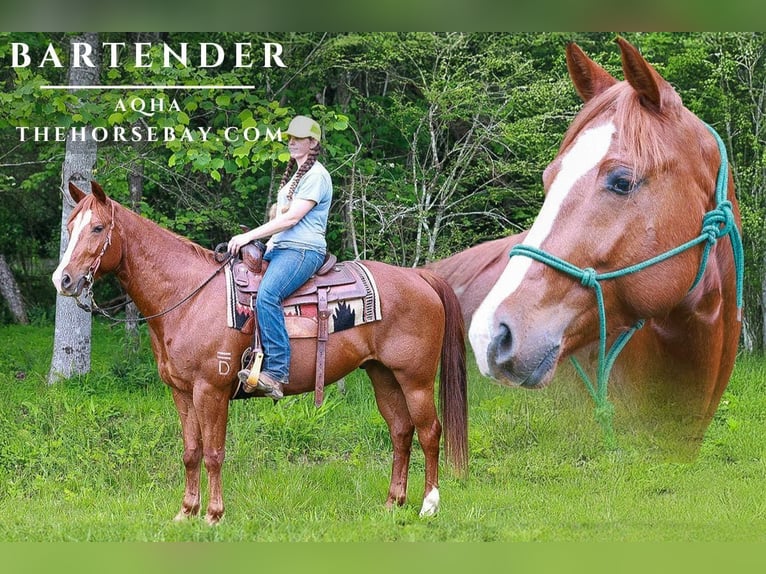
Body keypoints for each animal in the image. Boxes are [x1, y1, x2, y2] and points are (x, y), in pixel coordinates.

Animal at [52, 180, 468, 524]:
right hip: (383, 375)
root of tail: (420, 277)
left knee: (429, 432)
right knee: (401, 431)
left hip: (415, 379)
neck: (188, 296)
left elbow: (213, 452)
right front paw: (186, 512)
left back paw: (429, 506)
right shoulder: (182, 392)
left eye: (98, 228)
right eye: (70, 227)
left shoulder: (211, 391)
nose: (63, 280)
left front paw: (213, 516)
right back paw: (393, 503)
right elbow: (190, 452)